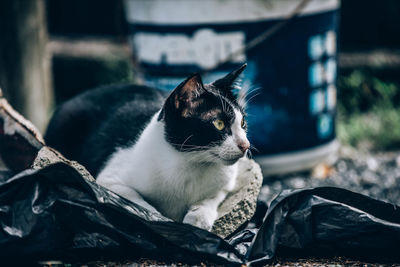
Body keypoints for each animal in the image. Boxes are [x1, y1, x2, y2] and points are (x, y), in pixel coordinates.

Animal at [45, 64, 248, 230]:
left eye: (242, 122)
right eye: (219, 124)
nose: (245, 145)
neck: (191, 162)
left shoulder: (226, 182)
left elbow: (213, 197)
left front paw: (198, 219)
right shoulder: (109, 179)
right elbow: (136, 201)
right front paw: (159, 220)